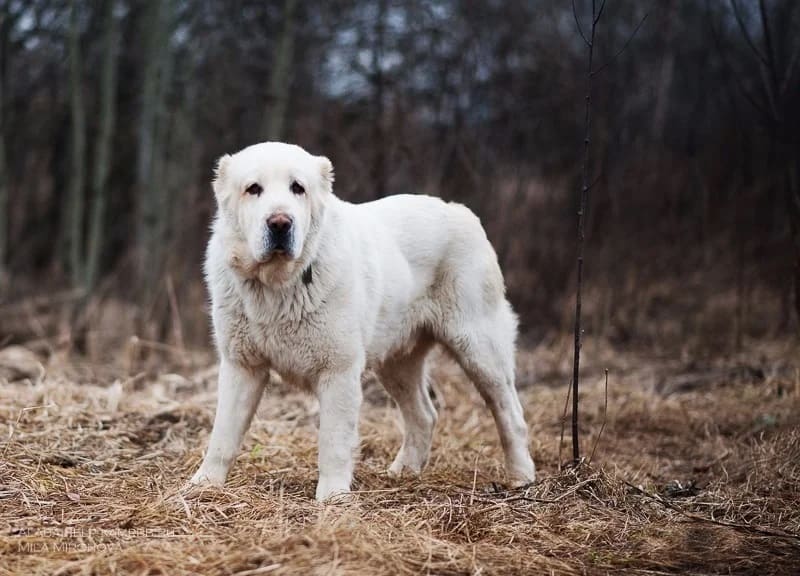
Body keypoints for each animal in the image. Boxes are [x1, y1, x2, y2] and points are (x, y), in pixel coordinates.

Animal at [190, 141, 536, 500]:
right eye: (253, 189)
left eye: (298, 188)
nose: (280, 223)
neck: (278, 286)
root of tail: (462, 211)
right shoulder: (242, 366)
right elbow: (223, 435)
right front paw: (204, 485)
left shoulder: (338, 371)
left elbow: (333, 442)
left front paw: (333, 497)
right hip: (396, 363)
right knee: (424, 415)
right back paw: (404, 471)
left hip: (479, 348)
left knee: (510, 413)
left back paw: (521, 477)